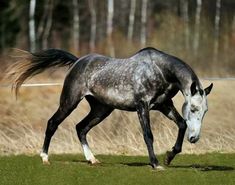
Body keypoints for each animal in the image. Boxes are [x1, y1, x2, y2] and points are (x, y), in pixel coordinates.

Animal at [7, 47, 213, 169]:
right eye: (193, 108)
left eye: (205, 112)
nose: (195, 139)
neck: (160, 71)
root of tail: (78, 61)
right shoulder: (142, 106)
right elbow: (148, 135)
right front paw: (155, 164)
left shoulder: (164, 105)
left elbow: (181, 124)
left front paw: (169, 157)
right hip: (69, 102)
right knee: (52, 123)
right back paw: (45, 157)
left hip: (101, 109)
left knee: (81, 128)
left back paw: (92, 159)